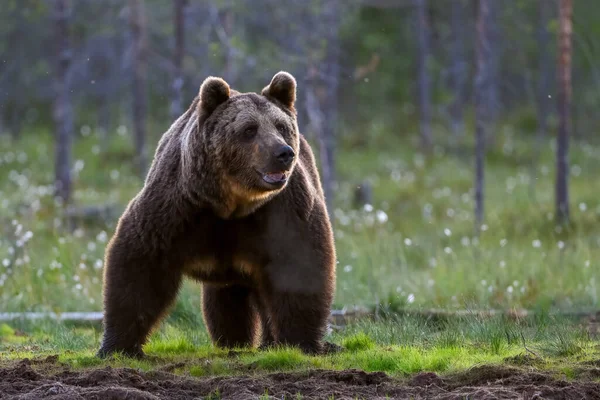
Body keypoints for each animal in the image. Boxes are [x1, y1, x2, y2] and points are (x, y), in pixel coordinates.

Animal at [96, 70, 336, 358]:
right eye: (249, 129)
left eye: (281, 127)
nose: (283, 153)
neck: (232, 203)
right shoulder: (177, 208)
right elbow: (140, 264)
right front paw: (118, 346)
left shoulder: (282, 211)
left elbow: (298, 265)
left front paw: (301, 343)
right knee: (225, 301)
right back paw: (233, 341)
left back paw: (264, 343)